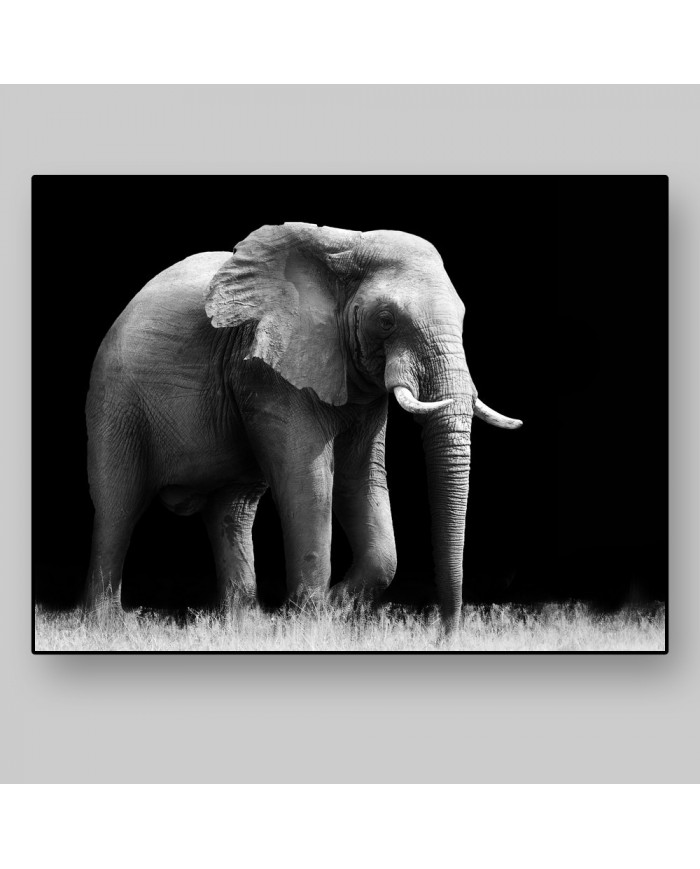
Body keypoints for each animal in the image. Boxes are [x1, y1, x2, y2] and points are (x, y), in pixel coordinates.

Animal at [85, 222, 521, 631]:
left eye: (463, 318)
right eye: (386, 320)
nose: (445, 632)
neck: (344, 246)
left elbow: (359, 477)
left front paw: (334, 607)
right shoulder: (268, 369)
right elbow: (308, 479)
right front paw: (310, 619)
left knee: (233, 511)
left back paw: (244, 625)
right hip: (116, 400)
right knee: (118, 504)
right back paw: (108, 626)